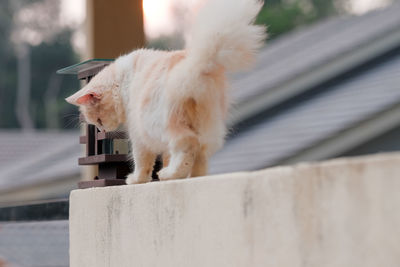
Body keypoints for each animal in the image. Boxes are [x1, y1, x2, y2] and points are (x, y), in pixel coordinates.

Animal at [65, 0, 266, 184]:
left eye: (98, 121)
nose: (102, 130)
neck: (121, 82)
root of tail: (199, 65)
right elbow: (167, 156)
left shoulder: (138, 134)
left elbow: (142, 161)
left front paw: (137, 179)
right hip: (207, 125)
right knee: (199, 154)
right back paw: (191, 176)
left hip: (158, 124)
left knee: (187, 144)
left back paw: (171, 174)